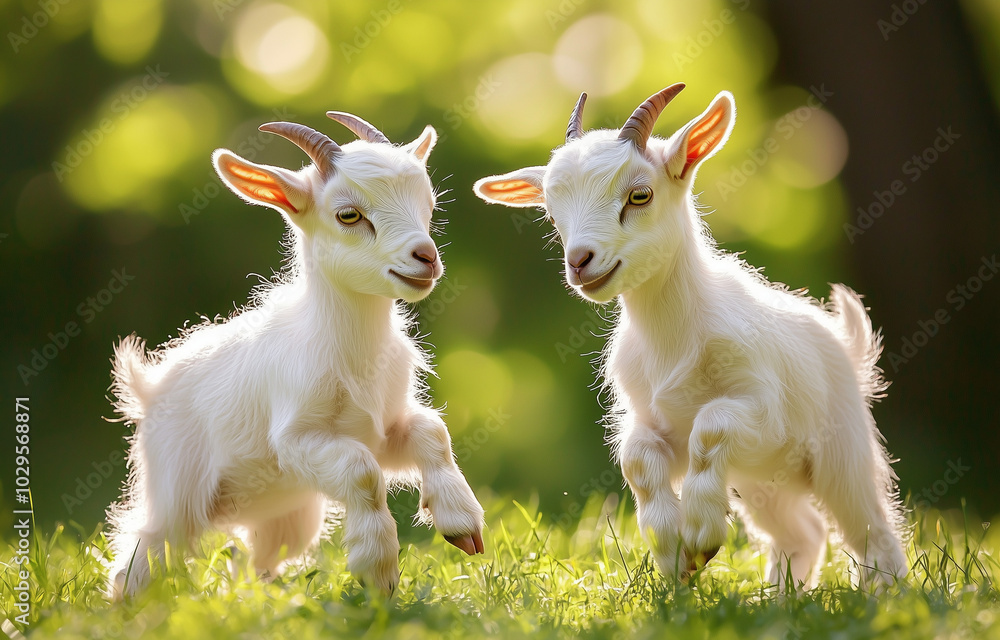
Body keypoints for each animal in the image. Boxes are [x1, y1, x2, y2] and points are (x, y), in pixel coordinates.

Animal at [107, 112, 485, 598]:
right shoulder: (296, 439)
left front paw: (462, 525)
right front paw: (377, 572)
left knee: (256, 563)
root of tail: (148, 389)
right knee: (143, 555)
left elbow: (430, 432)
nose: (426, 258)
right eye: (349, 214)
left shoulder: (381, 429)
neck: (349, 354)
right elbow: (363, 472)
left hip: (286, 516)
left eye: (431, 207)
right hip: (176, 490)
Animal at [473, 85, 907, 588]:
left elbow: (712, 424)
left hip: (839, 453)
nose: (580, 262)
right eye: (551, 213)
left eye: (639, 195)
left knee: (872, 531)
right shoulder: (652, 418)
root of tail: (845, 345)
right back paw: (781, 598)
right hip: (763, 480)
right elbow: (637, 458)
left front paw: (700, 535)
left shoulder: (763, 410)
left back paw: (885, 595)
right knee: (804, 532)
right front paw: (673, 552)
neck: (675, 339)